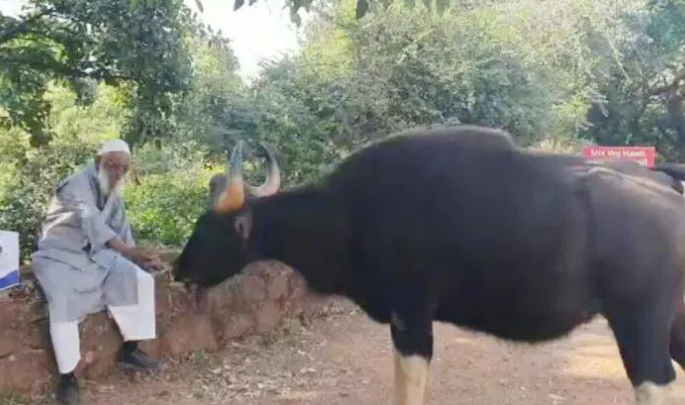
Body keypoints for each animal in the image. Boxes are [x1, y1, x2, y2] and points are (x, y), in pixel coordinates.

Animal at [173, 125, 685, 405]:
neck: (350, 213)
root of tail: (670, 195)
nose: (178, 270)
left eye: (208, 228)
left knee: (655, 382)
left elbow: (408, 387)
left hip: (638, 322)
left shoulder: (411, 318)